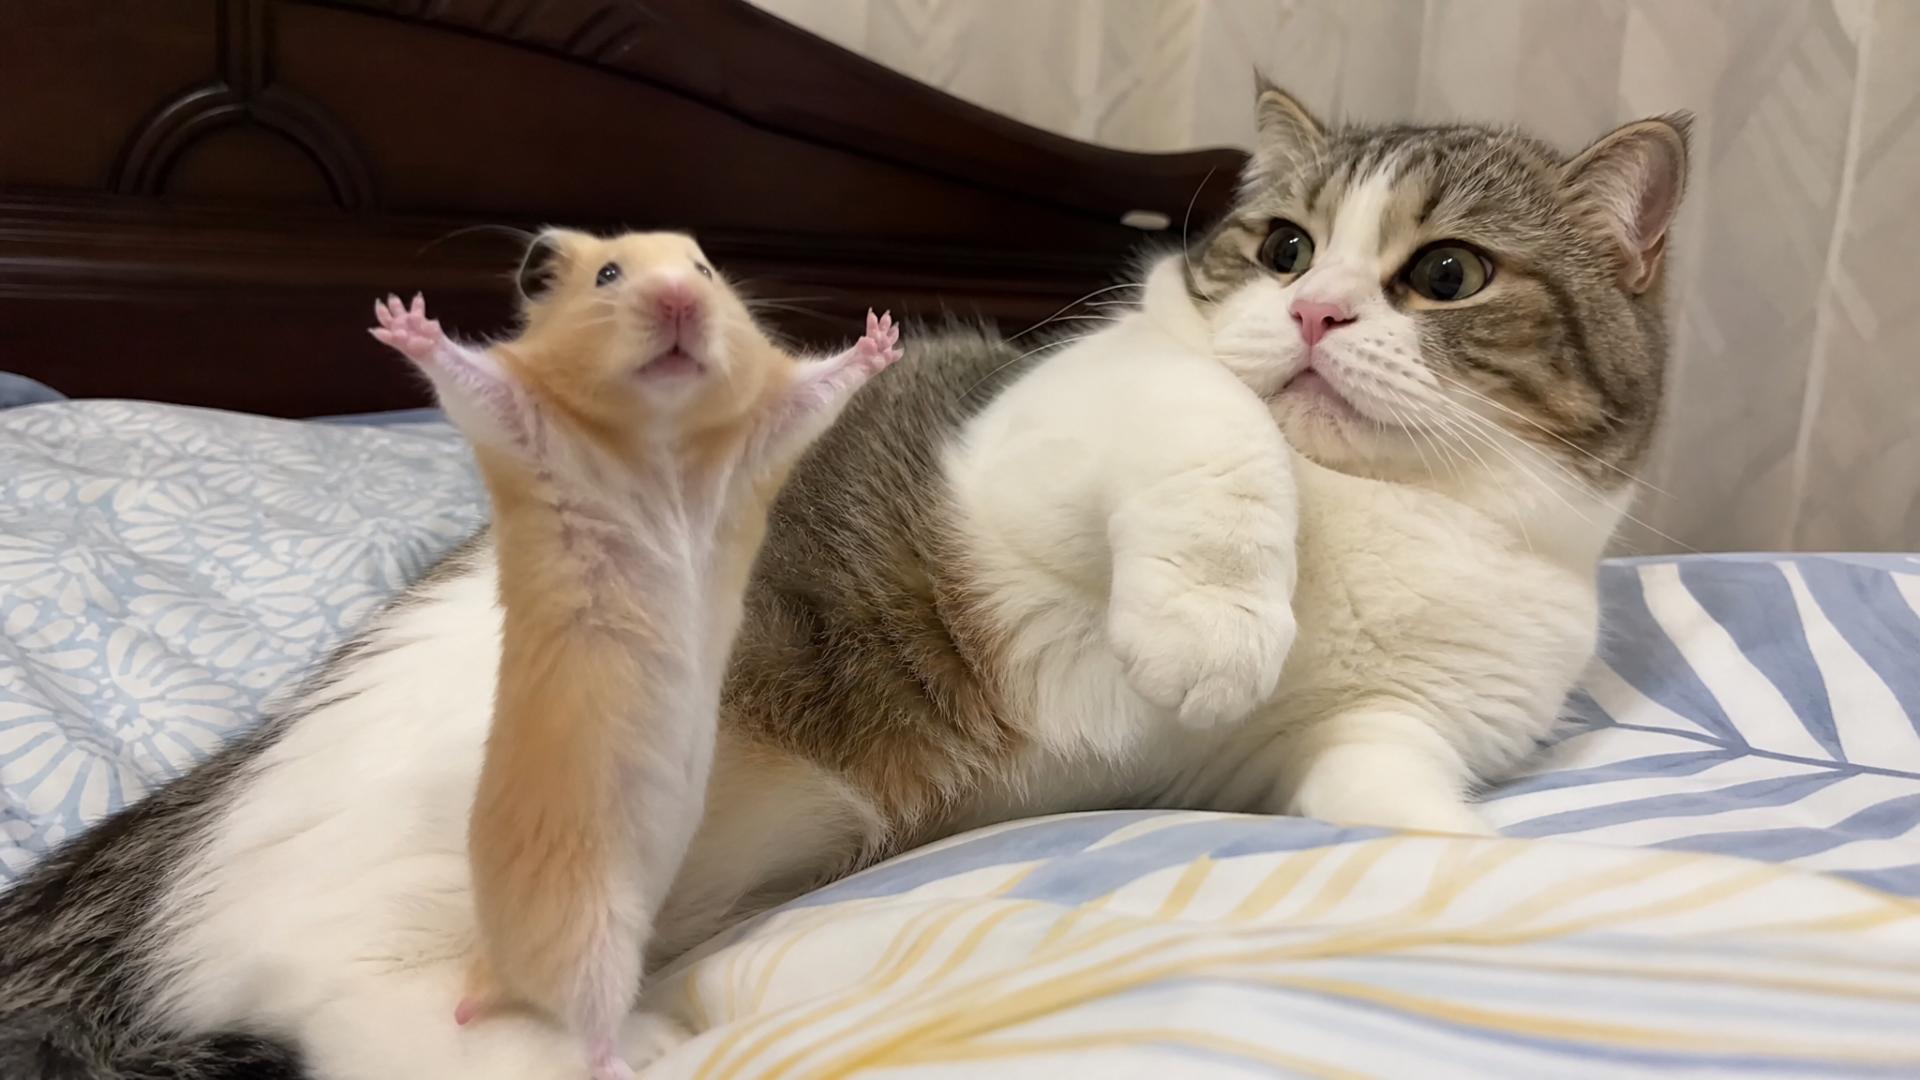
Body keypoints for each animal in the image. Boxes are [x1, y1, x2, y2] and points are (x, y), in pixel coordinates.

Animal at [370, 229, 902, 1079]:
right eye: (609, 275)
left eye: (704, 270)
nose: (679, 302)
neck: (664, 436)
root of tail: (490, 970)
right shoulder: (519, 424)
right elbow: (466, 378)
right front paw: (404, 318)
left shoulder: (763, 441)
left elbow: (821, 390)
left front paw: (882, 333)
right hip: (591, 930)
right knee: (584, 1019)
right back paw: (633, 1052)